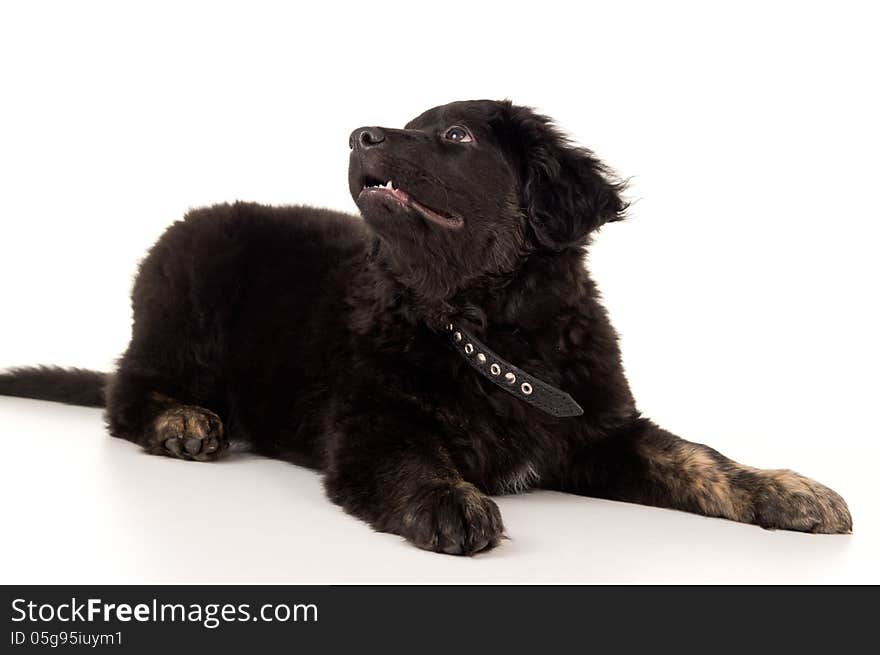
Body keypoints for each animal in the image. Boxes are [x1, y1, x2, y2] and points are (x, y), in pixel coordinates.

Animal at [0, 100, 852, 556]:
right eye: (410, 127)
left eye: (456, 138)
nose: (358, 135)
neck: (490, 336)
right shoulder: (371, 426)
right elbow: (414, 460)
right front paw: (451, 500)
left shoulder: (603, 428)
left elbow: (701, 458)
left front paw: (787, 489)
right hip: (189, 292)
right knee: (126, 392)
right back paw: (182, 420)